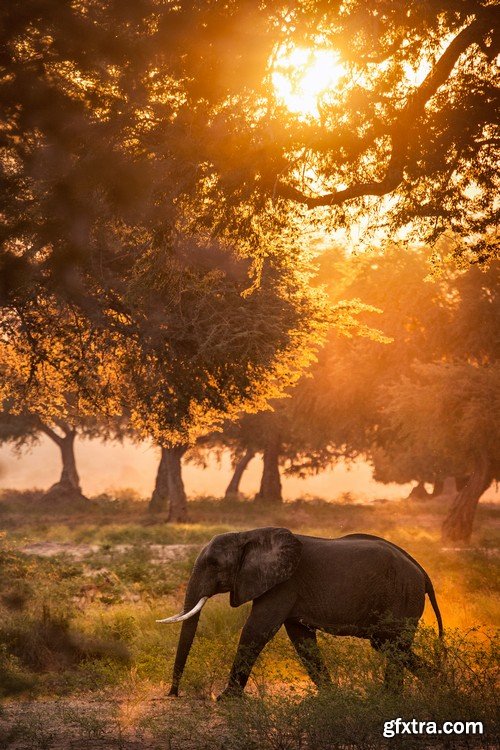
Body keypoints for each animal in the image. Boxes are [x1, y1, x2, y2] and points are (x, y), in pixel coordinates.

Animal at [159, 527, 443, 699]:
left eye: (214, 564)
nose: (174, 694)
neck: (248, 535)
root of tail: (422, 571)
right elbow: (301, 638)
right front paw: (331, 697)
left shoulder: (284, 584)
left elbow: (256, 630)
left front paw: (225, 700)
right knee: (388, 645)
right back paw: (431, 686)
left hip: (402, 596)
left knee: (391, 643)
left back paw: (399, 695)